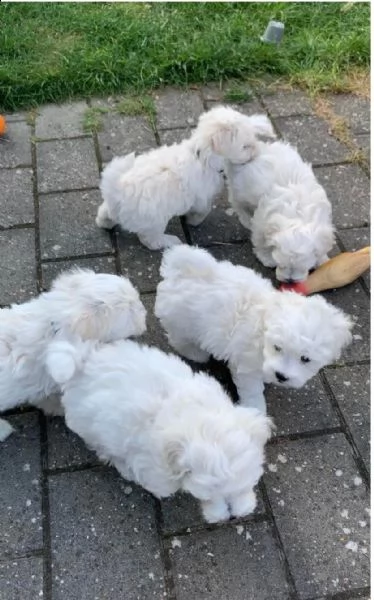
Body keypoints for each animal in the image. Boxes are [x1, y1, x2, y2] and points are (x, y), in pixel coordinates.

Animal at [44, 336, 272, 524]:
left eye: (244, 487)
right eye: (207, 497)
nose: (232, 517)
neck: (194, 417)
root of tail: (82, 364)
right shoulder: (153, 465)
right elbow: (161, 483)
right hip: (92, 427)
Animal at [96, 104, 274, 250]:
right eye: (245, 146)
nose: (256, 154)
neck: (202, 156)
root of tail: (117, 192)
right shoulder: (202, 196)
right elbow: (204, 209)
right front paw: (193, 221)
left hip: (111, 207)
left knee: (104, 213)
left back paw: (104, 223)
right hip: (154, 221)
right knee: (150, 240)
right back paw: (170, 241)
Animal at [155, 244, 354, 412]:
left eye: (305, 359)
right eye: (277, 347)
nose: (281, 376)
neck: (263, 329)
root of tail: (181, 268)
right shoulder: (247, 365)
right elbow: (252, 391)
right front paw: (256, 410)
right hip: (182, 322)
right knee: (179, 340)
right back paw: (197, 354)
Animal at [225, 139, 336, 282]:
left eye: (303, 268)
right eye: (281, 265)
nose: (290, 281)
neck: (298, 215)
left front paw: (322, 259)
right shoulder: (261, 222)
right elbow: (261, 241)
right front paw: (266, 258)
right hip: (239, 189)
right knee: (237, 202)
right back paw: (245, 219)